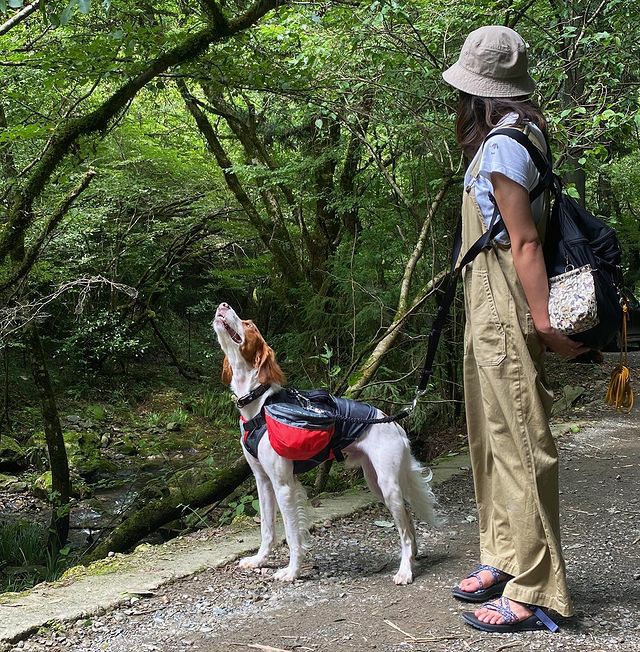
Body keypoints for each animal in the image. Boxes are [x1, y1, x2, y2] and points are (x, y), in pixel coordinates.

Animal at [213, 302, 439, 584]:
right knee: (407, 519)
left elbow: (292, 534)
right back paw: (413, 557)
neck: (259, 406)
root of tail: (393, 422)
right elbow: (267, 529)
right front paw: (259, 560)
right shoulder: (262, 481)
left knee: (405, 529)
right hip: (376, 482)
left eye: (249, 324)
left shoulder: (283, 485)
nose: (223, 304)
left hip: (389, 485)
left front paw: (292, 571)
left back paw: (405, 570)